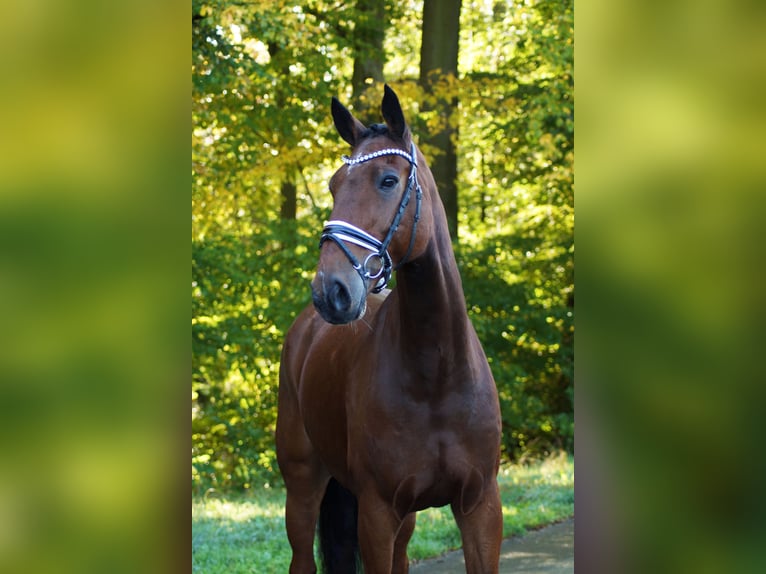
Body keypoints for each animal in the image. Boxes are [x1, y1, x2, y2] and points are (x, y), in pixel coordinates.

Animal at [276, 86, 504, 574]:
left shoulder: (480, 506)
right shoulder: (377, 512)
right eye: (333, 185)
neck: (436, 373)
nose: (331, 291)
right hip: (302, 486)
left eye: (387, 181)